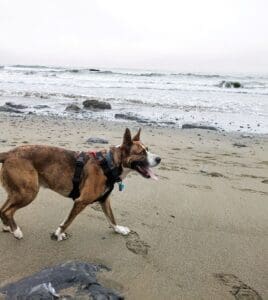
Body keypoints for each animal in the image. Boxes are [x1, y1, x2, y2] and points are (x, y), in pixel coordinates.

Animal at [0, 127, 159, 240]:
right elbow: (67, 222)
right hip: (28, 192)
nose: (159, 159)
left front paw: (118, 229)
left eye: (148, 150)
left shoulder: (104, 200)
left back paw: (8, 227)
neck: (109, 164)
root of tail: (9, 153)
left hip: (17, 192)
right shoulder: (81, 201)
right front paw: (58, 234)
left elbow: (111, 218)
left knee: (3, 209)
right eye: (141, 153)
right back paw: (16, 231)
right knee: (8, 211)